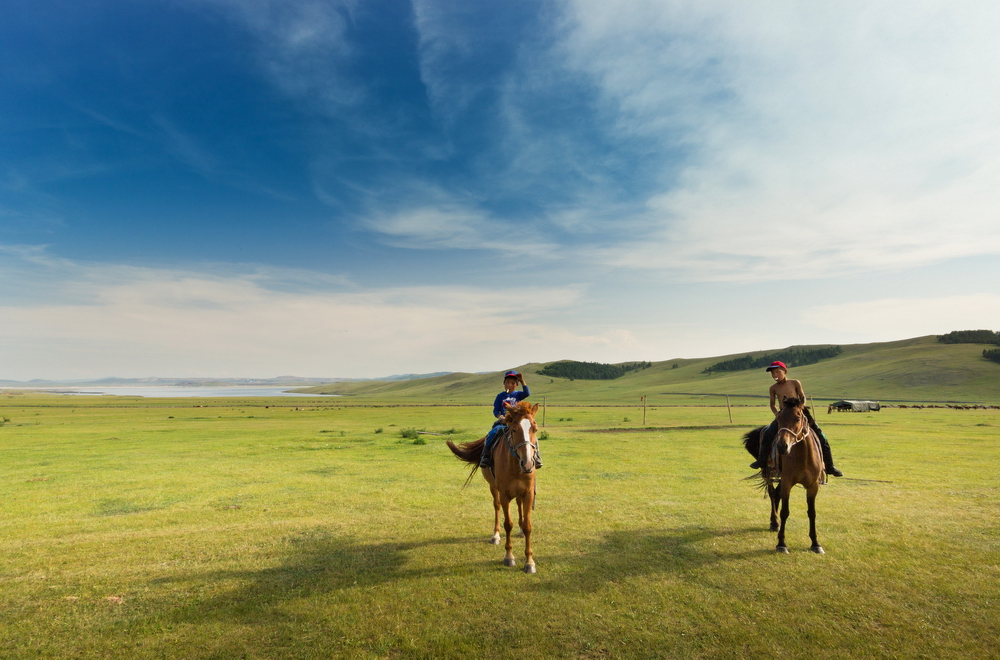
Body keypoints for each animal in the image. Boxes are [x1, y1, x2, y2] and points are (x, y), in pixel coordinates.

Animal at [446, 400, 540, 576]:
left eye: (535, 429)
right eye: (514, 429)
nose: (527, 463)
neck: (516, 466)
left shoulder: (528, 493)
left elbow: (528, 526)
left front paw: (529, 562)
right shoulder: (504, 495)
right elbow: (507, 524)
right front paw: (509, 557)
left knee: (519, 507)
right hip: (493, 488)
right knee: (496, 507)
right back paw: (495, 536)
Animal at [744, 398, 828, 552]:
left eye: (798, 418)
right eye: (779, 419)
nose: (782, 446)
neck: (803, 457)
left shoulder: (813, 486)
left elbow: (812, 512)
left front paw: (815, 543)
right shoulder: (787, 483)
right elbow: (785, 512)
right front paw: (781, 544)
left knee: (776, 494)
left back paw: (775, 523)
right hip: (768, 473)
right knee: (772, 493)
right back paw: (774, 522)